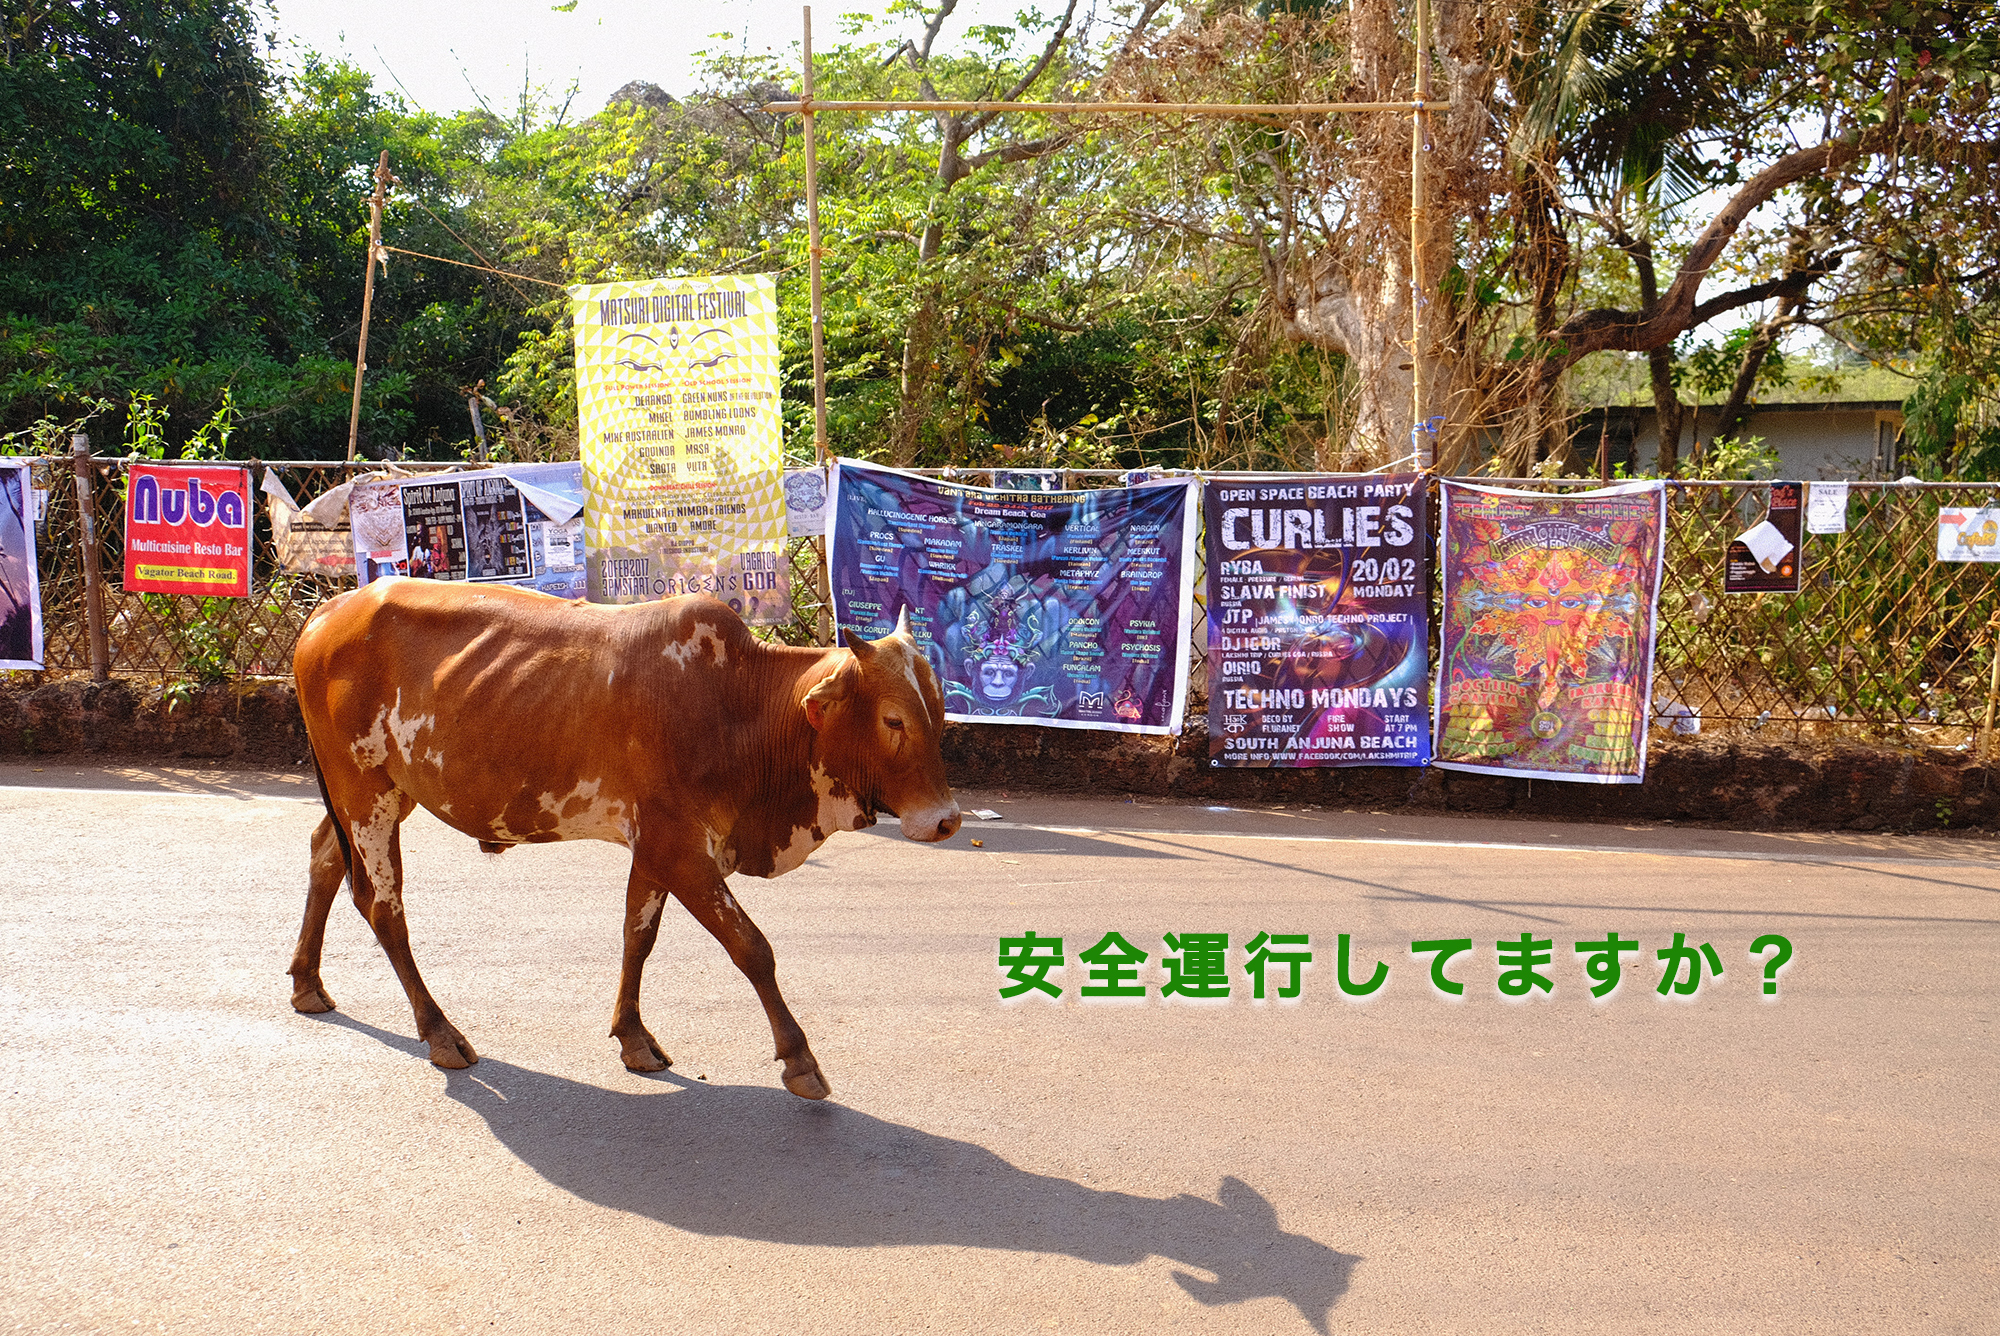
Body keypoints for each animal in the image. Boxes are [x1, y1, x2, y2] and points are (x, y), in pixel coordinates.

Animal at [288, 580, 960, 1096]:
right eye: (893, 720)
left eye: (940, 714)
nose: (947, 820)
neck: (741, 704)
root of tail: (329, 610)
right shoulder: (678, 849)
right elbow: (752, 949)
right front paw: (799, 1060)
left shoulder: (656, 847)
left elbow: (639, 937)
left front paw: (633, 1037)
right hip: (364, 790)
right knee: (384, 907)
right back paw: (439, 1032)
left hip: (382, 794)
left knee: (324, 857)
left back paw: (307, 983)